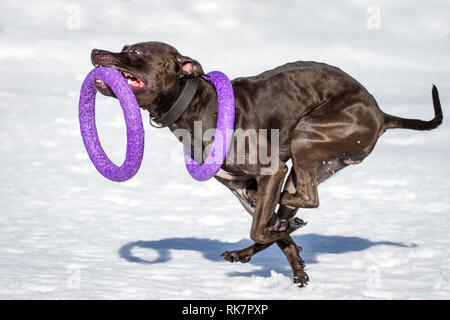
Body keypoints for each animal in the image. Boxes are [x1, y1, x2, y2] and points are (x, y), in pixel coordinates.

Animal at [91, 41, 442, 286]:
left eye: (136, 51)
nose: (96, 51)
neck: (193, 106)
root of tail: (381, 113)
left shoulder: (270, 171)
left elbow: (260, 228)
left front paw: (287, 238)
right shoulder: (242, 190)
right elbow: (269, 232)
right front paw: (296, 263)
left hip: (307, 135)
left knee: (305, 198)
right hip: (309, 162)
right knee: (290, 206)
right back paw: (258, 243)